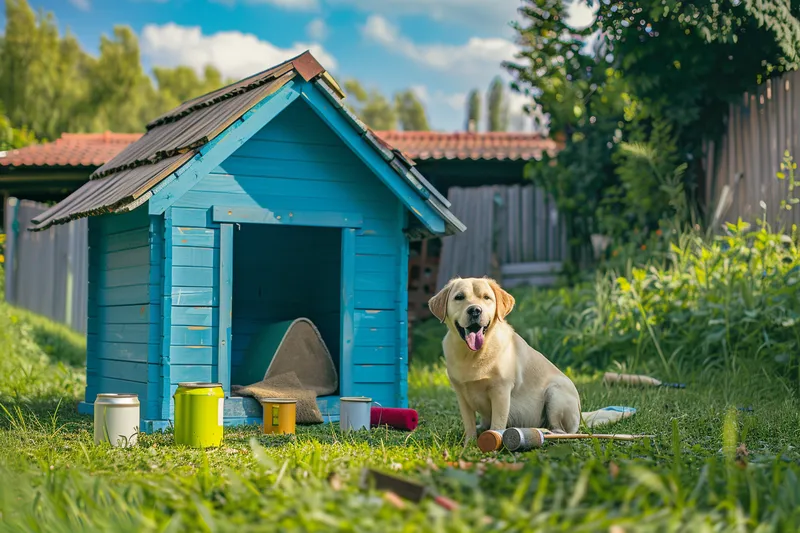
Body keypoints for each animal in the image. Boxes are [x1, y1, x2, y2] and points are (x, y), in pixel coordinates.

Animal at [428, 276, 580, 442]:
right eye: (459, 297)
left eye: (486, 297)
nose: (475, 310)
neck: (473, 355)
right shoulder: (461, 394)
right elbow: (469, 425)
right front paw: (469, 443)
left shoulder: (500, 391)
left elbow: (497, 424)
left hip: (555, 393)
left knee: (563, 430)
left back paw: (548, 432)